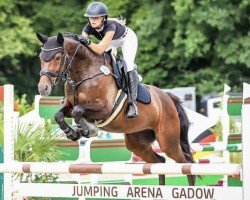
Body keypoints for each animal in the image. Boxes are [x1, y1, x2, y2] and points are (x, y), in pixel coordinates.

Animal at [36, 32, 195, 186]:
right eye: (40, 58)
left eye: (57, 57)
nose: (43, 88)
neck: (83, 74)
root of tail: (168, 98)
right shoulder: (69, 105)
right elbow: (59, 115)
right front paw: (73, 133)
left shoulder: (104, 108)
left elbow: (78, 110)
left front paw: (87, 130)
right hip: (138, 143)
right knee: (159, 162)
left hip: (168, 141)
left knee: (186, 163)